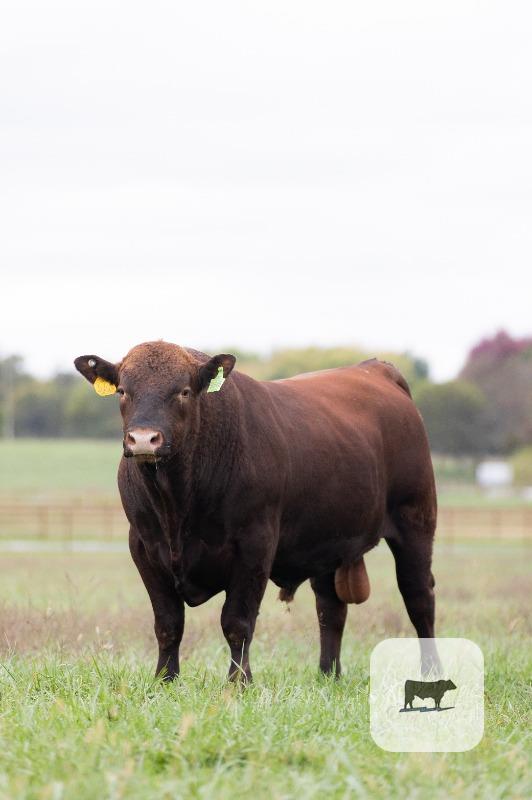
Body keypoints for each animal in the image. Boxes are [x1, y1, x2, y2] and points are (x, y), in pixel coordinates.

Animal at [74, 340, 438, 683]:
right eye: (123, 391)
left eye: (184, 391)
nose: (143, 439)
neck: (177, 504)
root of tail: (375, 368)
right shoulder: (144, 547)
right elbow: (168, 623)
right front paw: (164, 680)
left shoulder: (254, 546)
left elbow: (237, 622)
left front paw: (239, 682)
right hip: (327, 541)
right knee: (330, 609)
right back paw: (328, 674)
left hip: (416, 521)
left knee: (419, 597)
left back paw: (431, 671)